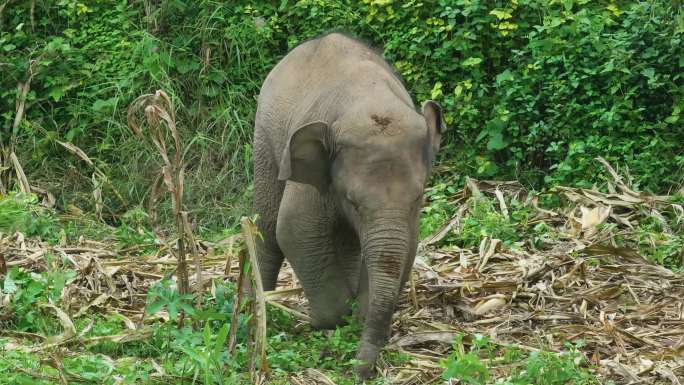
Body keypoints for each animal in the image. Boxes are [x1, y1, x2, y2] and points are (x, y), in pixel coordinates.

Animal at [251, 32, 444, 378]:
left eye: (418, 197)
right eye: (353, 201)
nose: (360, 373)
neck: (371, 99)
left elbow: (406, 246)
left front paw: (358, 315)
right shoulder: (314, 173)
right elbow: (294, 229)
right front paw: (327, 320)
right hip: (264, 137)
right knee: (269, 228)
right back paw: (264, 307)